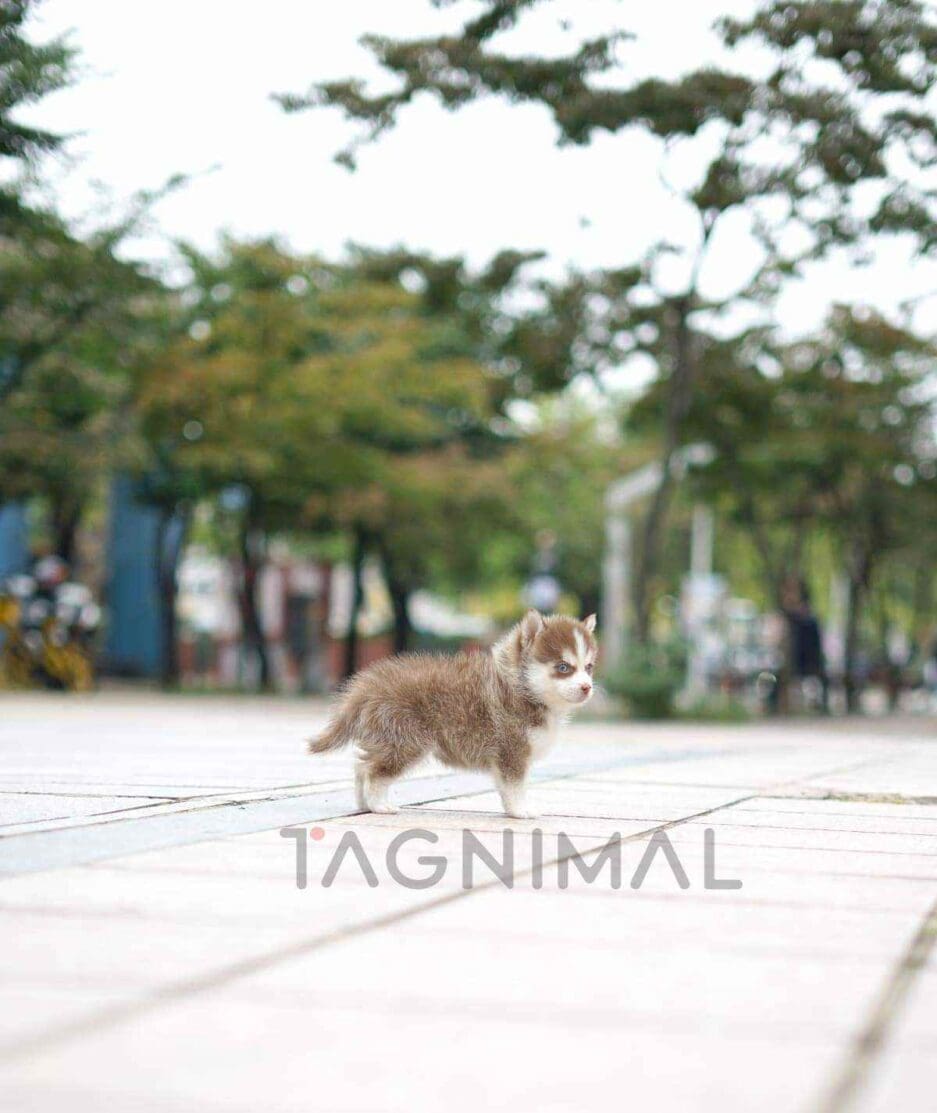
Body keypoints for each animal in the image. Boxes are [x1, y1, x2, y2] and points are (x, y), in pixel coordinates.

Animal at [309, 609, 596, 819]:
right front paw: (521, 811)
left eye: (589, 667)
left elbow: (505, 788)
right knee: (374, 772)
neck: (521, 686)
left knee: (361, 766)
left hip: (386, 740)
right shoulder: (512, 751)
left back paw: (363, 804)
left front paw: (511, 810)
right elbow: (516, 787)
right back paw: (380, 806)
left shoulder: (506, 757)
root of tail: (367, 684)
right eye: (563, 667)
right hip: (405, 742)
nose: (587, 687)